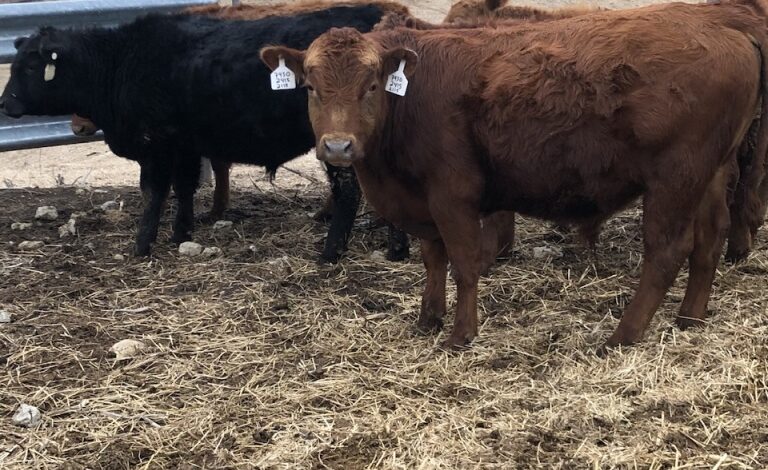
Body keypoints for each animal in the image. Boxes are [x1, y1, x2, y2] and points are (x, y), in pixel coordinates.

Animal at [0, 5, 409, 262]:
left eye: (31, 66)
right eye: (16, 63)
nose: (5, 103)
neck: (121, 62)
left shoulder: (156, 148)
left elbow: (154, 194)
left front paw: (142, 245)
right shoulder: (184, 146)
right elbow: (184, 188)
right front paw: (182, 233)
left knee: (347, 193)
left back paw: (331, 253)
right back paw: (396, 249)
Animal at [261, 1, 768, 351]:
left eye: (370, 85)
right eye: (311, 86)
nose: (338, 146)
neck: (412, 98)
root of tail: (726, 26)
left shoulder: (452, 197)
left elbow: (464, 263)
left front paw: (460, 334)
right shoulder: (423, 201)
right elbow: (433, 260)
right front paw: (428, 319)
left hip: (674, 179)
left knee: (667, 251)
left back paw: (623, 335)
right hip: (710, 174)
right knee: (710, 239)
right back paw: (690, 318)